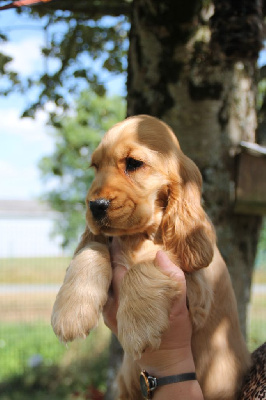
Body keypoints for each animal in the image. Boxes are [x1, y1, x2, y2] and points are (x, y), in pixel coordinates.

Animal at [52, 114, 251, 398]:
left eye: (134, 163)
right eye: (95, 167)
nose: (95, 206)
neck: (137, 236)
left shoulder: (198, 293)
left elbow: (147, 262)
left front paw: (138, 327)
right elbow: (92, 248)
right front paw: (71, 313)